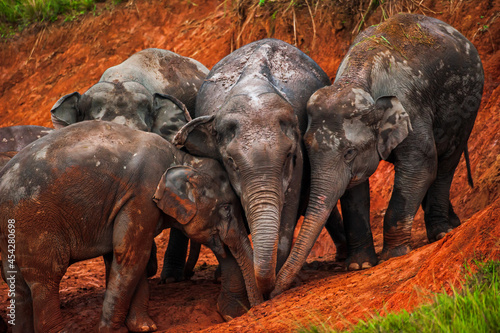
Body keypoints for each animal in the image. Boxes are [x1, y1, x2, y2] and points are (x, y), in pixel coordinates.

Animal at [0, 120, 264, 332]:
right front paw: (113, 331)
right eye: (227, 208)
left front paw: (143, 327)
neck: (182, 159)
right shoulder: (141, 193)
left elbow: (126, 256)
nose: (252, 310)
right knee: (46, 278)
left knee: (19, 285)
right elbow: (131, 254)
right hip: (35, 224)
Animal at [274, 13, 484, 294]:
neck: (356, 77)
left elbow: (421, 166)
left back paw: (442, 232)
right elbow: (354, 187)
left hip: (467, 106)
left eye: (349, 152)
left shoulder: (411, 110)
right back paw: (452, 224)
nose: (272, 291)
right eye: (306, 149)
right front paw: (359, 265)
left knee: (446, 162)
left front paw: (394, 255)